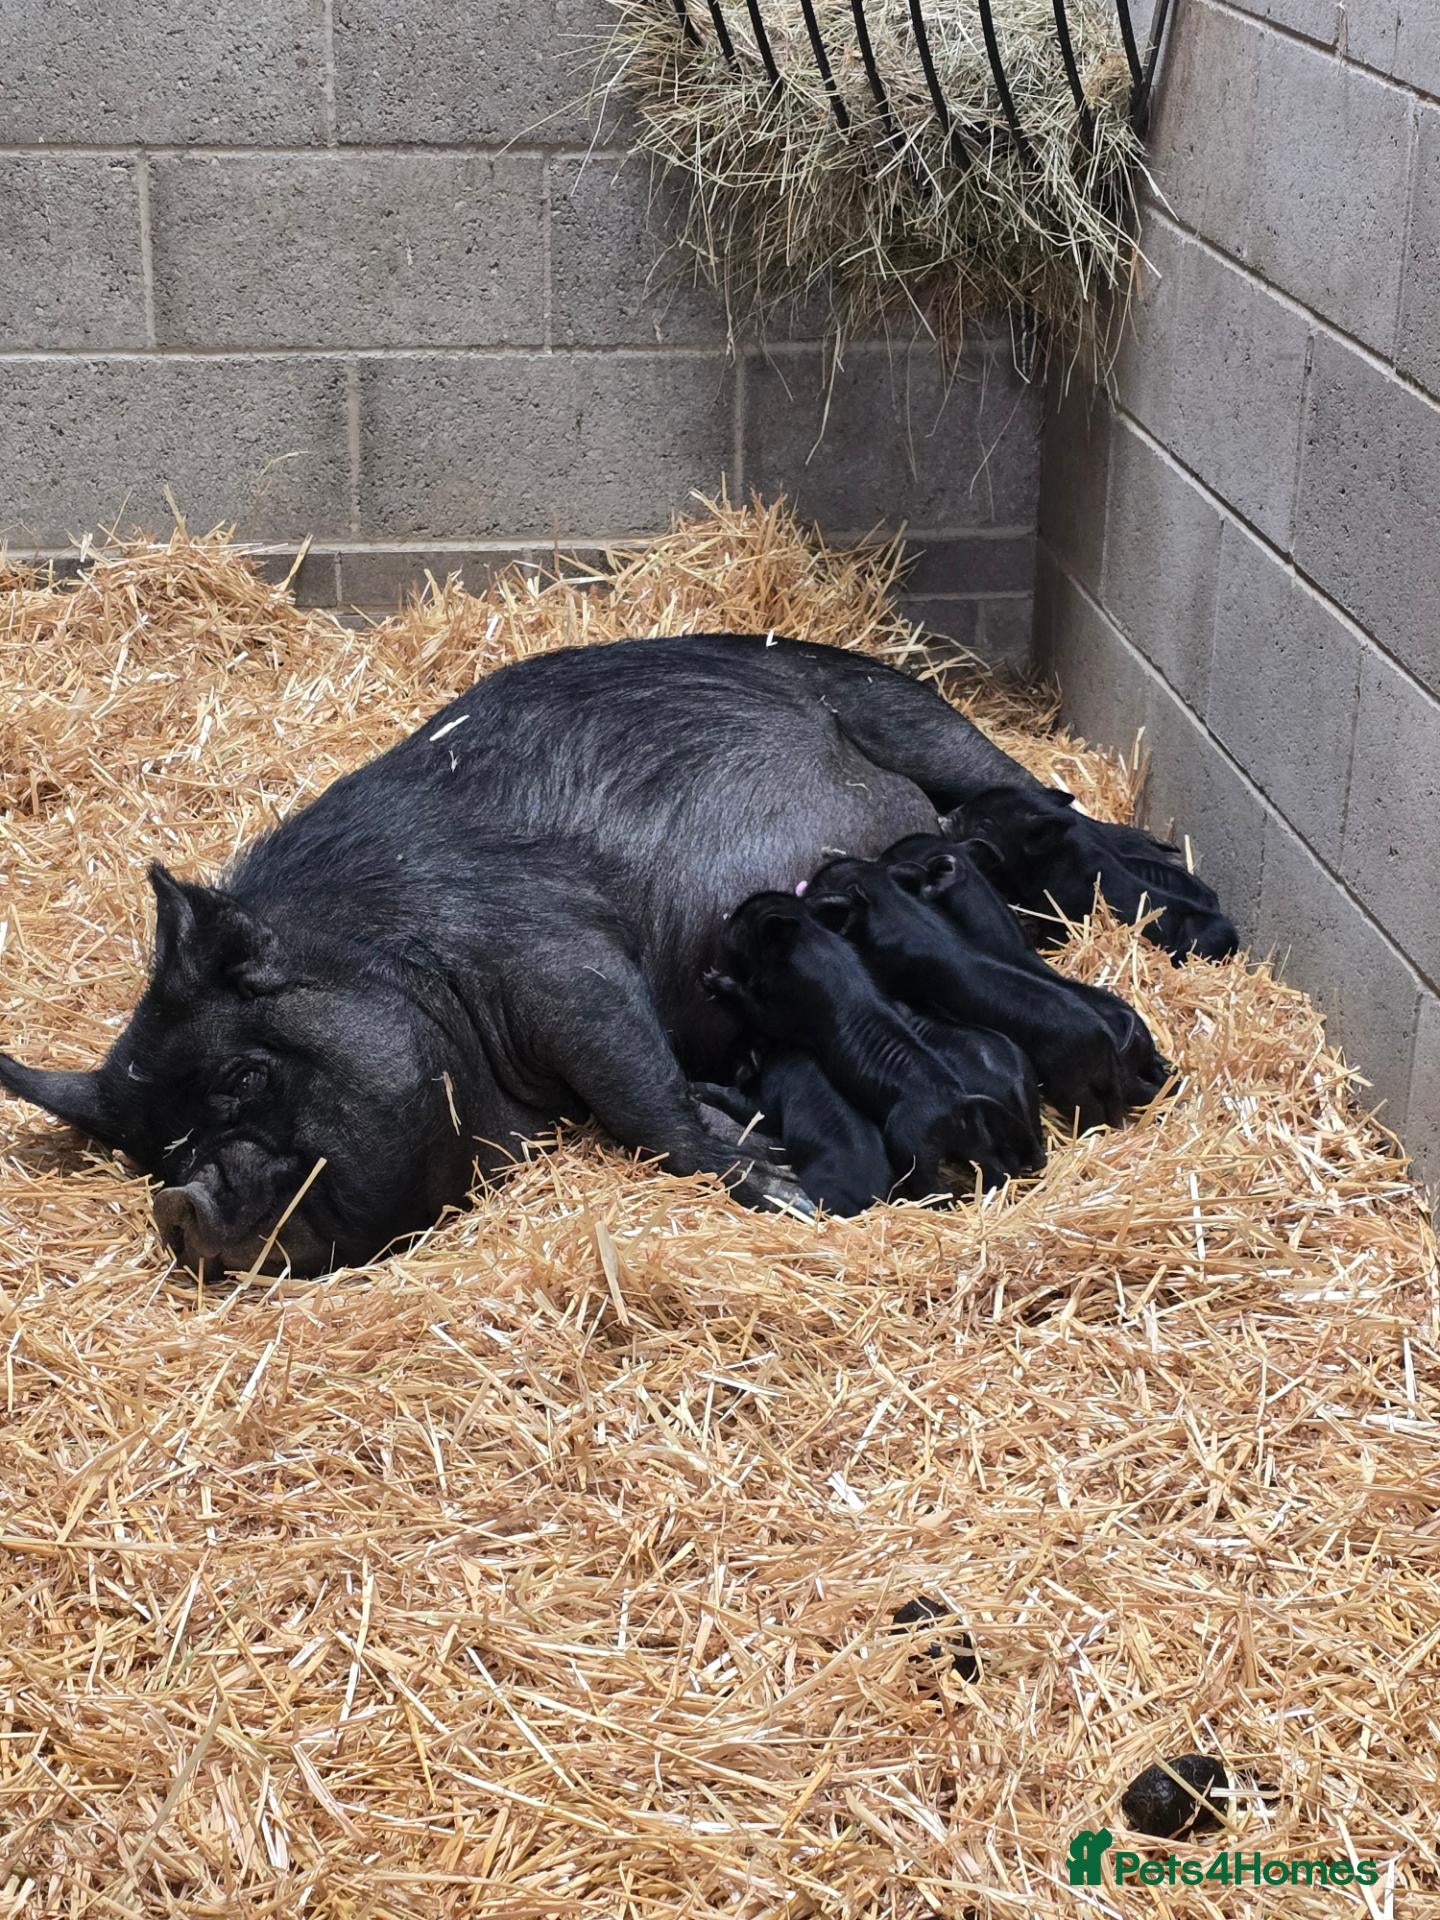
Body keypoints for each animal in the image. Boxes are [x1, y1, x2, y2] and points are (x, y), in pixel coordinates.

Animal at [0, 633, 1233, 1273]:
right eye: (148, 1150)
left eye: (242, 1076)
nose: (180, 1205)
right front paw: (751, 1130)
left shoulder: (556, 954)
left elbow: (641, 1093)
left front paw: (777, 1182)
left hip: (913, 717)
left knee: (1042, 795)